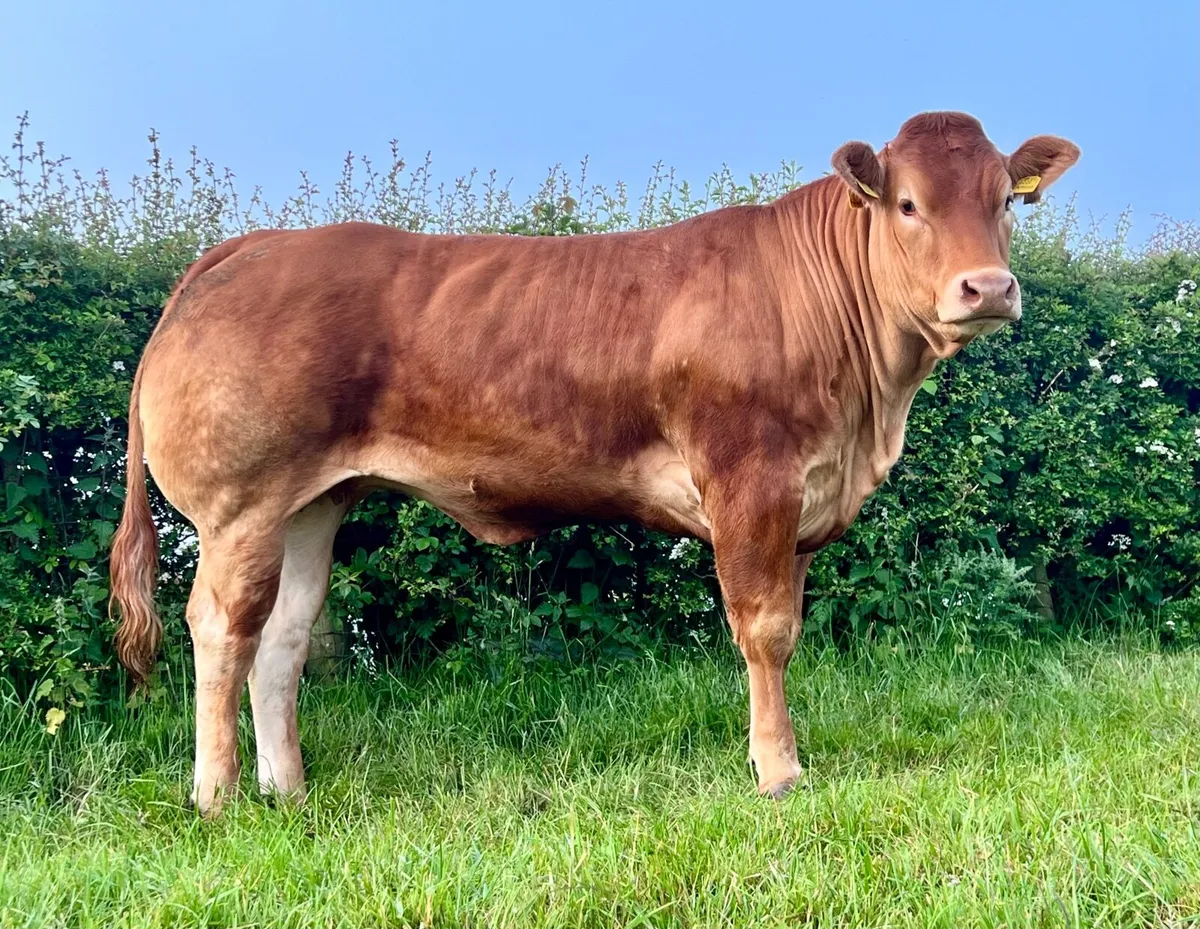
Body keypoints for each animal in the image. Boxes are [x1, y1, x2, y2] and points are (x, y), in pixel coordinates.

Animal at [109, 112, 1079, 814]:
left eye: (1005, 198)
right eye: (908, 204)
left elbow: (787, 627)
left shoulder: (801, 499)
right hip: (241, 504)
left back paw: (291, 791)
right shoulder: (751, 480)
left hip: (312, 503)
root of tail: (256, 243)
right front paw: (778, 771)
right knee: (220, 627)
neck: (866, 413)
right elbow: (765, 631)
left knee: (282, 637)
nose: (988, 288)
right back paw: (218, 794)